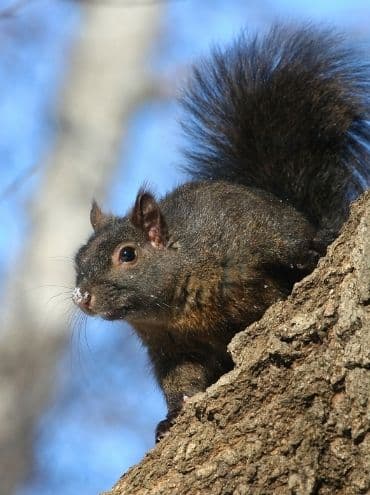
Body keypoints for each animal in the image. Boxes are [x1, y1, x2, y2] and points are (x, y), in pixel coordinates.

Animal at [72, 24, 370, 442]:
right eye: (77, 260)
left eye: (127, 254)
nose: (82, 296)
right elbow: (181, 379)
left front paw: (309, 252)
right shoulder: (171, 346)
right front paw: (171, 418)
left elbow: (285, 243)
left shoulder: (246, 227)